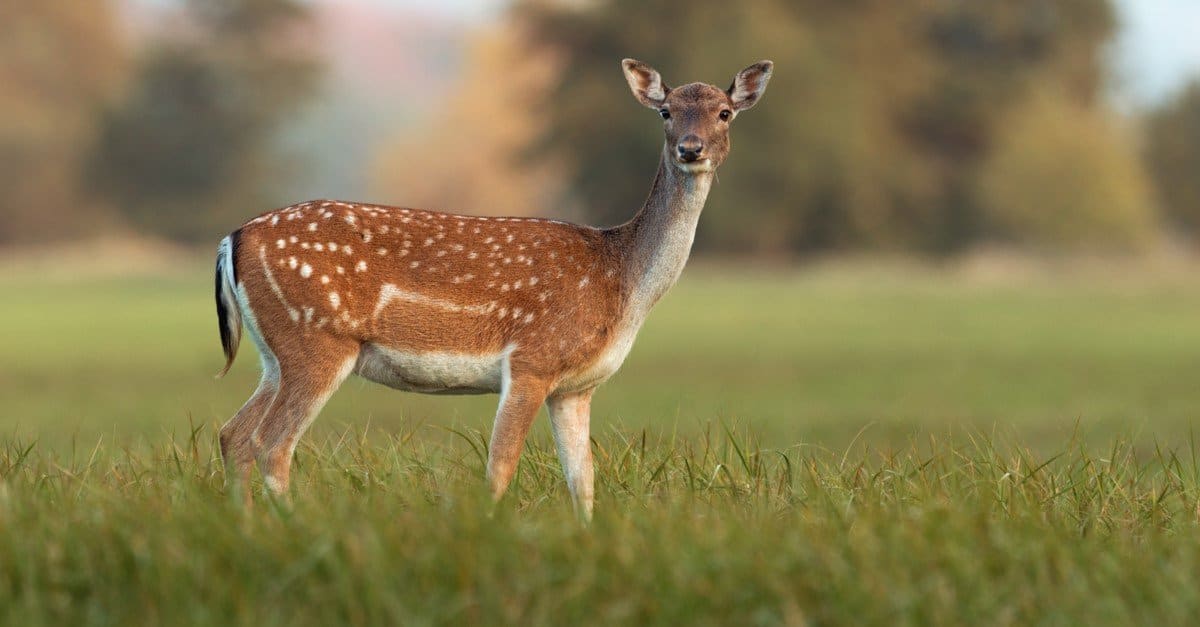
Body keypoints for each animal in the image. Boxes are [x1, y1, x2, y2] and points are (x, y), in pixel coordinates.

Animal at [214, 58, 773, 519]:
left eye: (724, 113)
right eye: (665, 112)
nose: (690, 149)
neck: (621, 281)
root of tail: (231, 239)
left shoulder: (576, 387)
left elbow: (583, 481)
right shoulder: (532, 359)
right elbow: (500, 469)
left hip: (276, 354)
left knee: (233, 435)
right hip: (318, 340)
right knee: (271, 444)